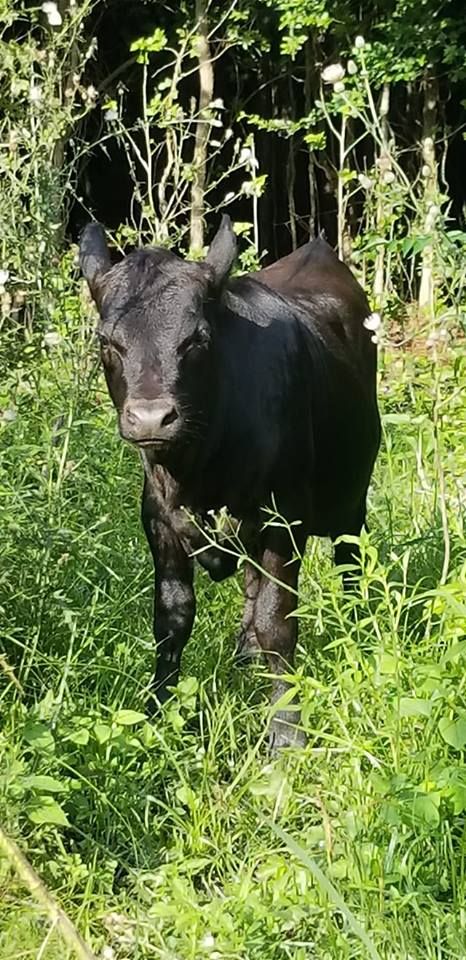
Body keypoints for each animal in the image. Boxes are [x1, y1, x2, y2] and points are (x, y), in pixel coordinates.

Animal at [79, 216, 380, 750]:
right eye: (106, 341)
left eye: (197, 338)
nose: (152, 418)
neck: (198, 467)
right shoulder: (158, 519)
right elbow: (172, 619)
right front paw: (156, 713)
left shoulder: (286, 517)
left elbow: (277, 622)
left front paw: (286, 731)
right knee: (251, 582)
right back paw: (244, 654)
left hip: (351, 496)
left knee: (350, 562)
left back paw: (356, 628)